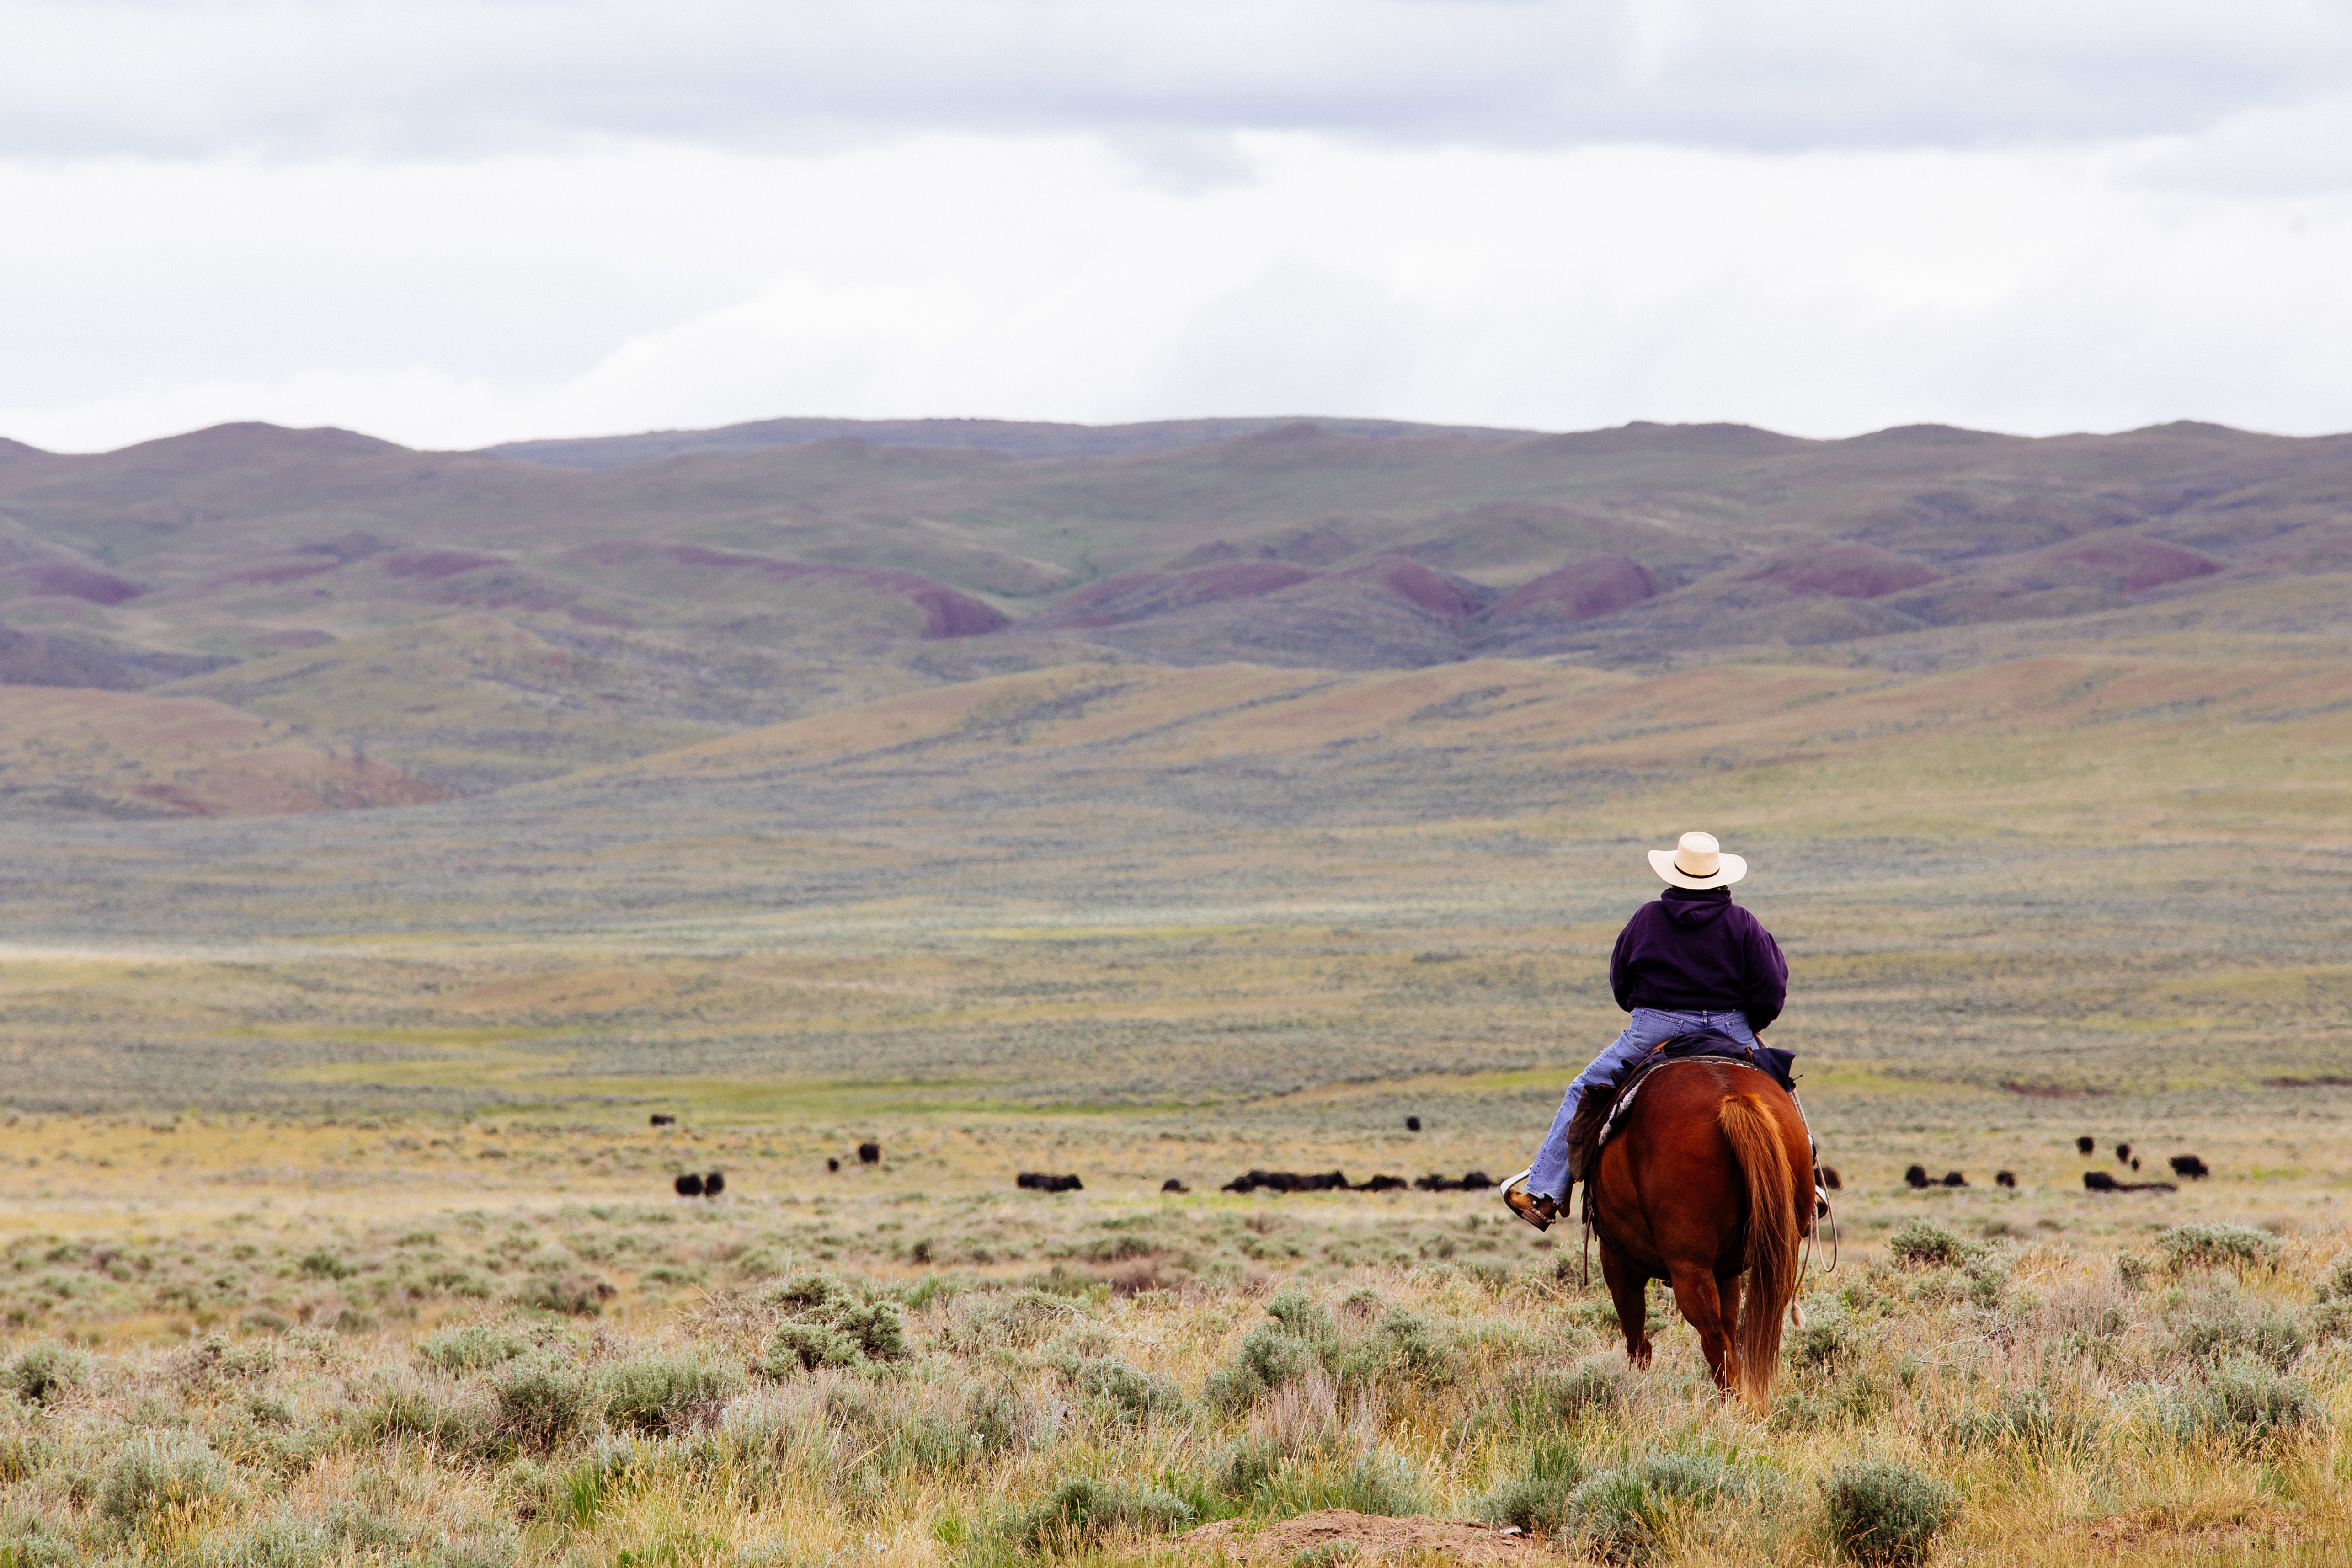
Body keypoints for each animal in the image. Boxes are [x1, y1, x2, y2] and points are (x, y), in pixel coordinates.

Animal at [1590, 1062, 1806, 1420]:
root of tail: (1732, 1098)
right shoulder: (1726, 1271)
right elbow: (1732, 1323)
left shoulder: (1617, 1258)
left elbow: (1635, 1333)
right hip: (1778, 1253)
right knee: (1748, 1330)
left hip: (1688, 1267)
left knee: (1711, 1335)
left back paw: (1733, 1409)